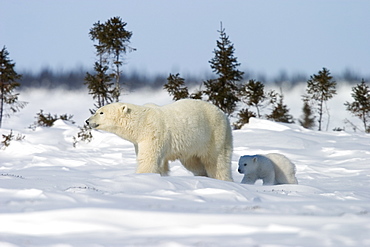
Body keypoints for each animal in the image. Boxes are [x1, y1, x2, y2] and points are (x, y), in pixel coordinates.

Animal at [85, 99, 233, 181]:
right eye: (97, 111)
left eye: (101, 112)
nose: (87, 121)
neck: (141, 123)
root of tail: (224, 114)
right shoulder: (139, 142)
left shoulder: (153, 134)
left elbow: (148, 160)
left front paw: (140, 176)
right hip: (192, 146)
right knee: (194, 163)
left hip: (215, 135)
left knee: (217, 162)